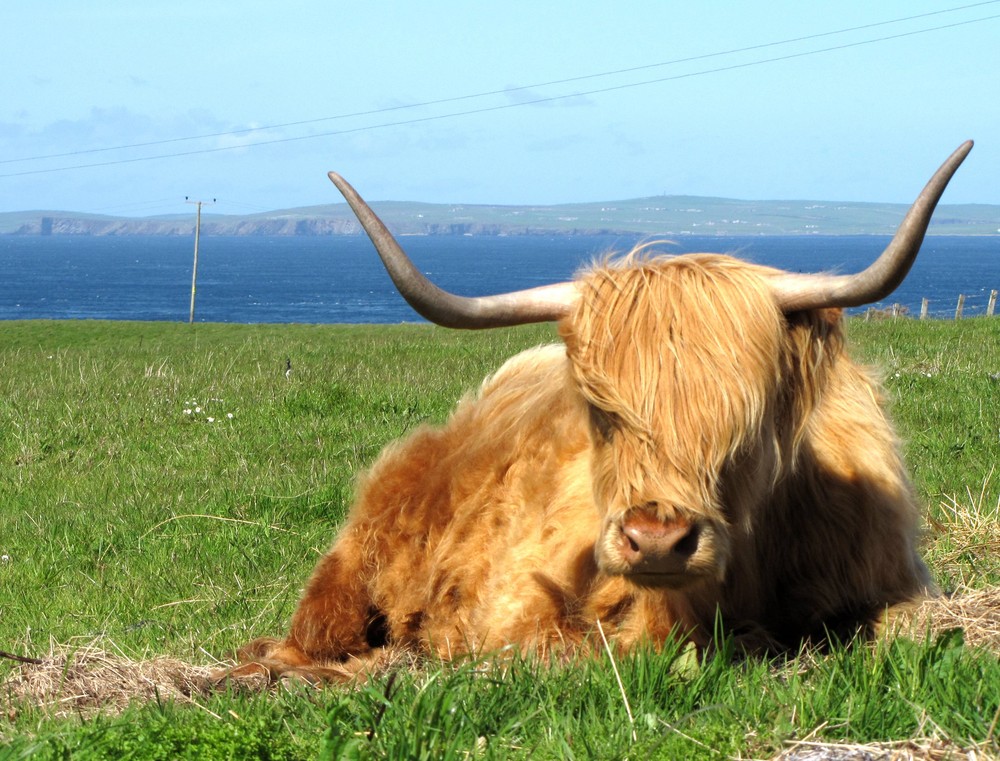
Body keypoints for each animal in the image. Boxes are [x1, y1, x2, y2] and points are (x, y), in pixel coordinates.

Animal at [232, 142, 968, 684]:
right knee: (300, 642)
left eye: (748, 419)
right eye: (600, 412)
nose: (657, 539)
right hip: (349, 571)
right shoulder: (515, 617)